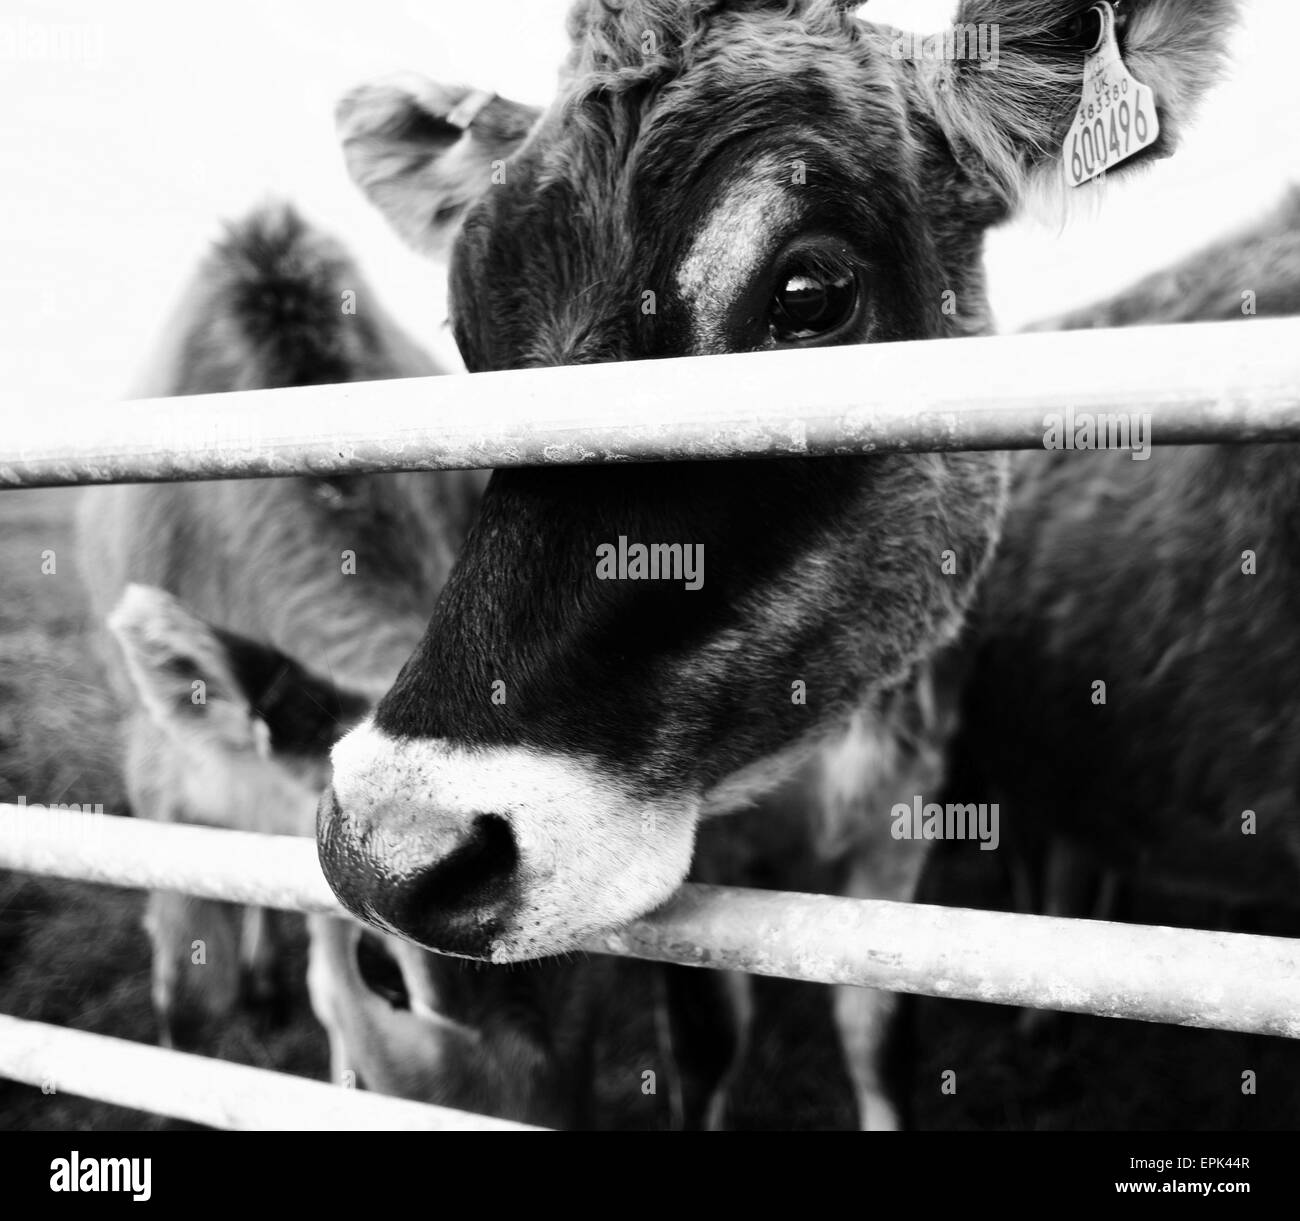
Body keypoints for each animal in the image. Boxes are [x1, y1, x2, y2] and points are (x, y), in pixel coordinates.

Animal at [319, 0, 1239, 1128]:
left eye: (808, 293)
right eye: (467, 329)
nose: (388, 844)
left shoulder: (900, 820)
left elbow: (878, 1032)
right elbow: (708, 1038)